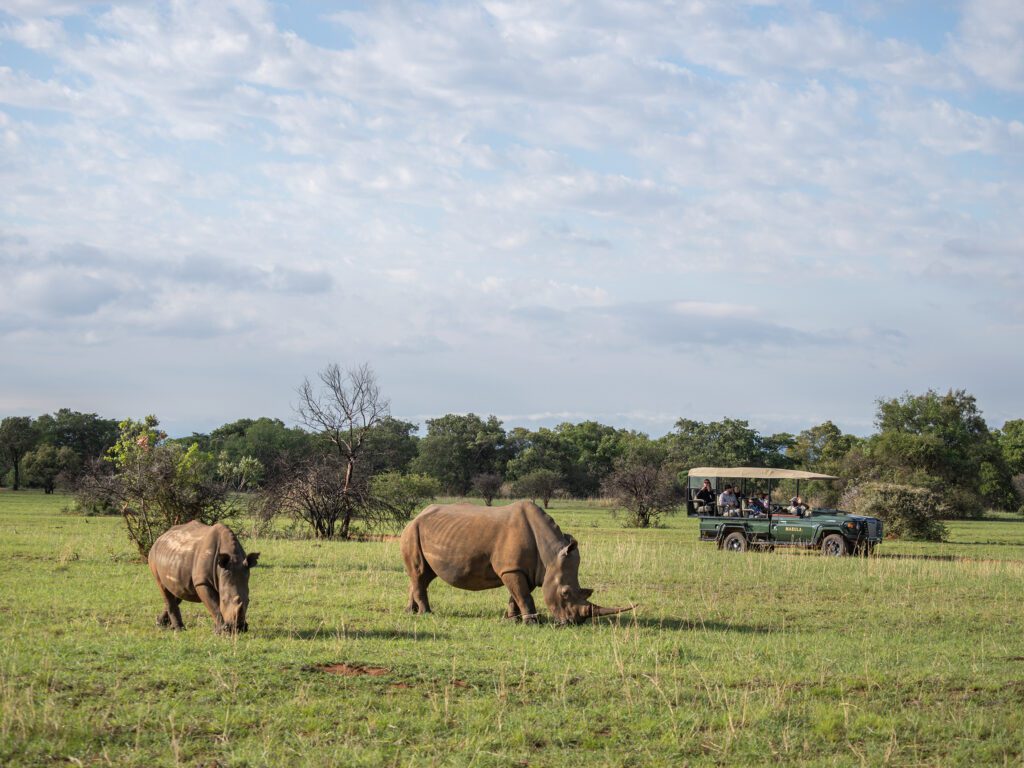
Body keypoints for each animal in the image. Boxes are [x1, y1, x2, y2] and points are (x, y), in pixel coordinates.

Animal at [400, 501, 631, 624]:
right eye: (565, 593)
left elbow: (517, 595)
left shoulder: (526, 569)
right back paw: (426, 614)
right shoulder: (512, 569)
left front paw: (513, 619)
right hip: (412, 531)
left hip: (423, 531)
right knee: (420, 573)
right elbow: (523, 595)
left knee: (423, 575)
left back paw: (410, 612)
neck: (550, 554)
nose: (573, 622)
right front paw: (532, 622)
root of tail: (417, 516)